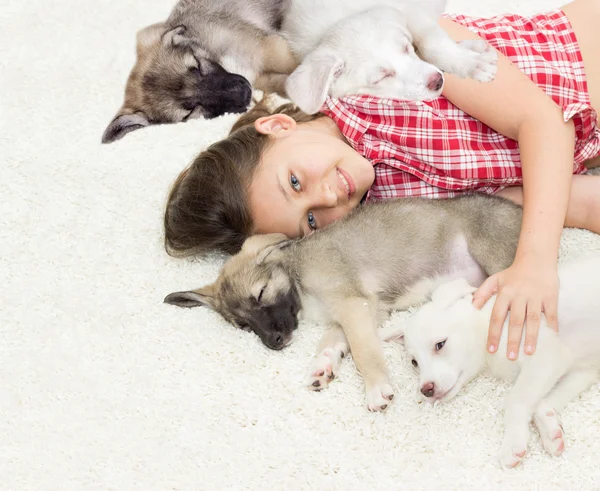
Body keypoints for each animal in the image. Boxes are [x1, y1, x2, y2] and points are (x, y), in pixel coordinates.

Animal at [164, 195, 520, 412]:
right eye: (243, 325)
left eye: (261, 294)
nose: (275, 342)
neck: (299, 278)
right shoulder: (355, 311)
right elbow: (332, 341)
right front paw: (324, 366)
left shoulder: (353, 305)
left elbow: (363, 352)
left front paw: (376, 388)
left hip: (493, 256)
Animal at [282, 0, 496, 114]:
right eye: (382, 77)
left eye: (405, 48)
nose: (437, 81)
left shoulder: (412, 12)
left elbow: (431, 42)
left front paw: (469, 61)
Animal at [380, 254, 600, 468]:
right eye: (414, 362)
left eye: (440, 344)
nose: (426, 390)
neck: (487, 325)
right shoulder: (583, 369)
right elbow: (545, 402)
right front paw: (550, 430)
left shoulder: (546, 356)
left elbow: (515, 399)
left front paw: (512, 444)